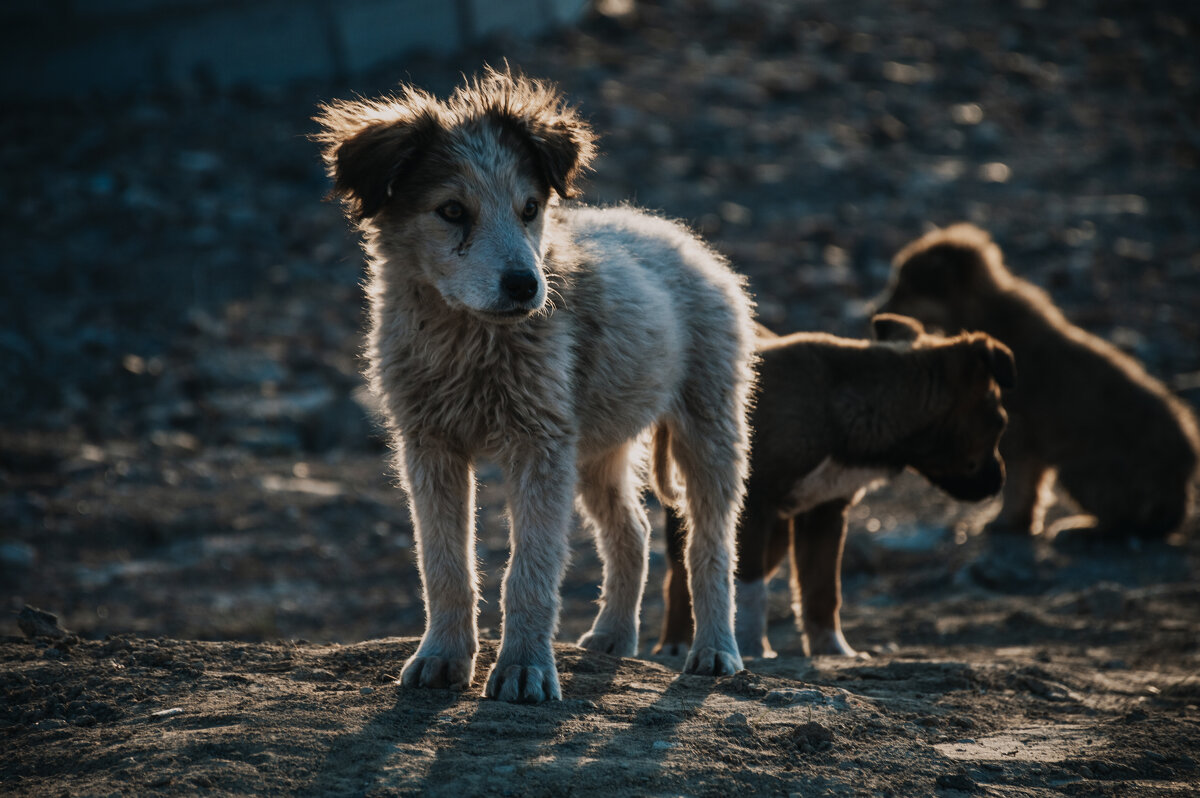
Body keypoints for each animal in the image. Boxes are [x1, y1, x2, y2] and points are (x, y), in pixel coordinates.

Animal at [657, 314, 1012, 657]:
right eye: (1000, 422)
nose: (998, 484)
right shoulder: (755, 507)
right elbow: (749, 588)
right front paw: (751, 648)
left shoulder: (825, 512)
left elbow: (822, 590)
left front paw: (831, 648)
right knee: (681, 576)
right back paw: (676, 644)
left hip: (776, 536)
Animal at [873, 220, 1200, 537]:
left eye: (903, 288)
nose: (874, 311)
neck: (979, 307)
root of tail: (1183, 481)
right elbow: (1027, 484)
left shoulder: (1017, 431)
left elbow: (1018, 484)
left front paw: (1004, 522)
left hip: (1081, 468)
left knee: (1124, 517)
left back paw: (1080, 527)